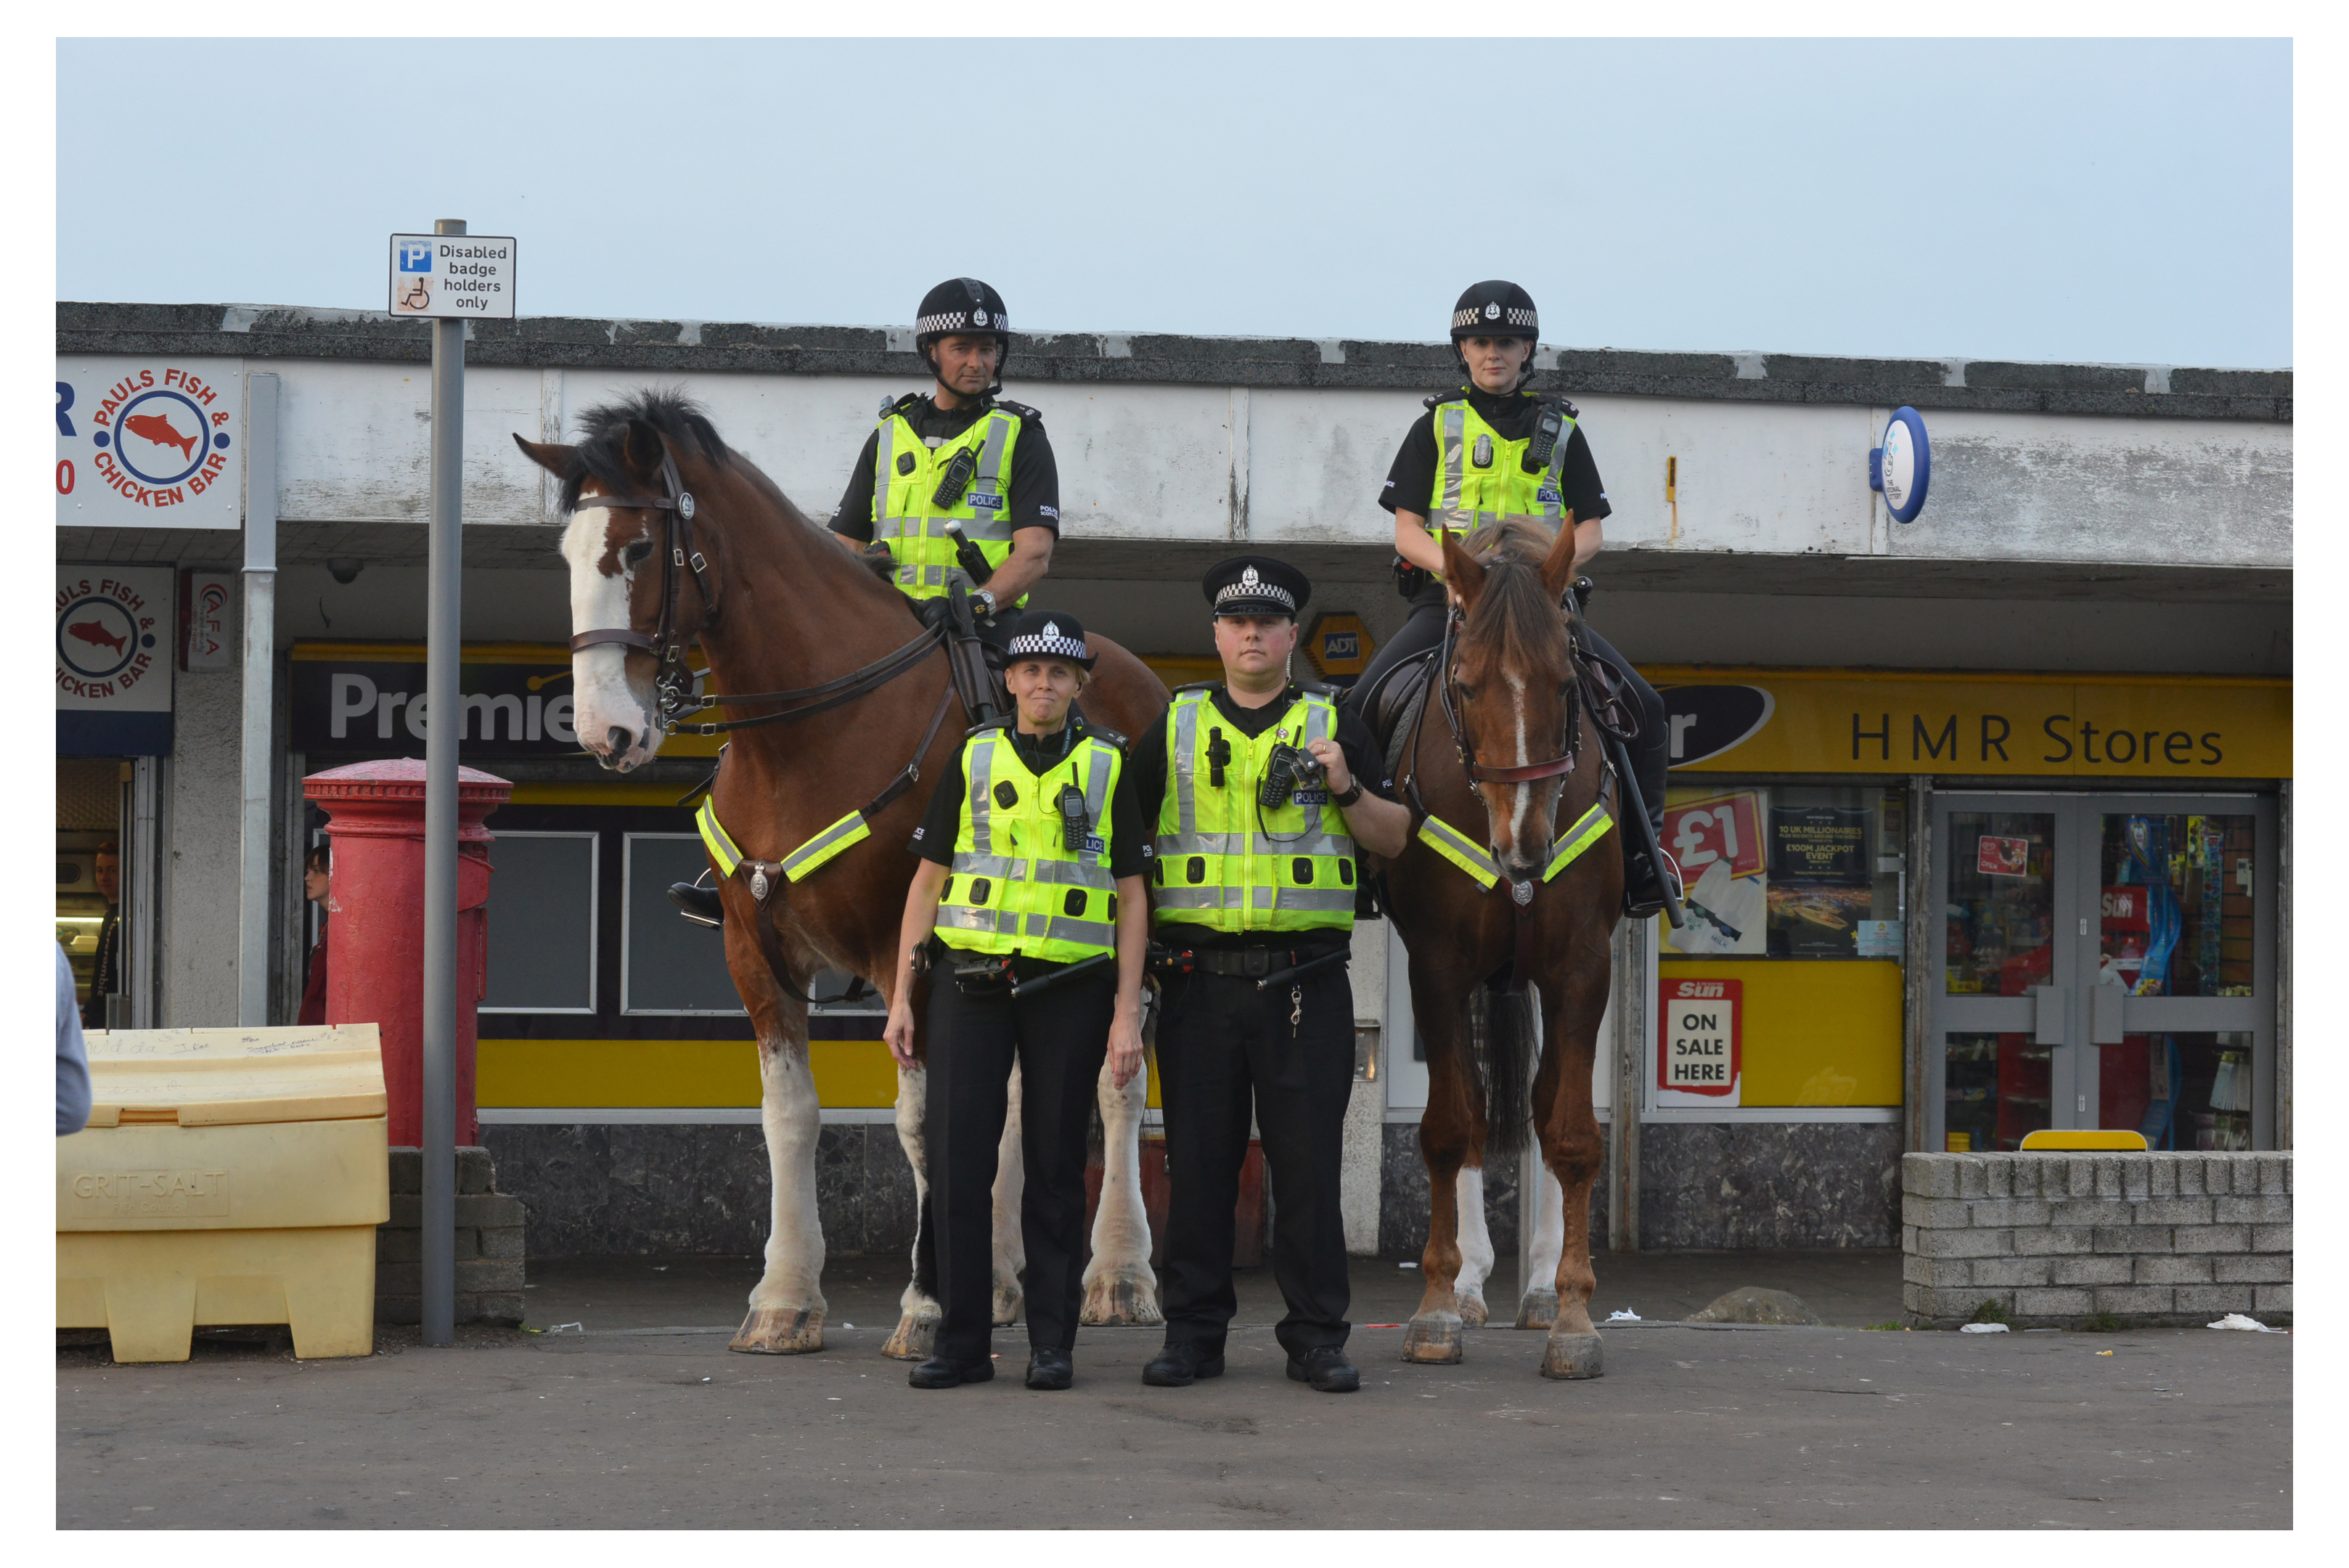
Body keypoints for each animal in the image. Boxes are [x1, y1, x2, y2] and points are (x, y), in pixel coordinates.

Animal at [516, 392, 1174, 1363]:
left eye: (635, 550)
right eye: (565, 556)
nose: (608, 733)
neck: (810, 734)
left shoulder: (914, 949)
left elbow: (925, 1123)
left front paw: (927, 1306)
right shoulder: (753, 952)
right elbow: (789, 1115)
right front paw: (785, 1300)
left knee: (1114, 1087)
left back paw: (1119, 1275)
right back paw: (1002, 1279)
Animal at [1381, 521, 1625, 1382]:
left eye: (1564, 683)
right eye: (1463, 683)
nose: (1524, 848)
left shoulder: (1582, 966)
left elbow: (1572, 1133)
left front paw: (1575, 1316)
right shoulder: (1436, 968)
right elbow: (1451, 1128)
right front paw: (1434, 1309)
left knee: (1543, 1102)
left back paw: (1542, 1287)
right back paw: (1470, 1286)